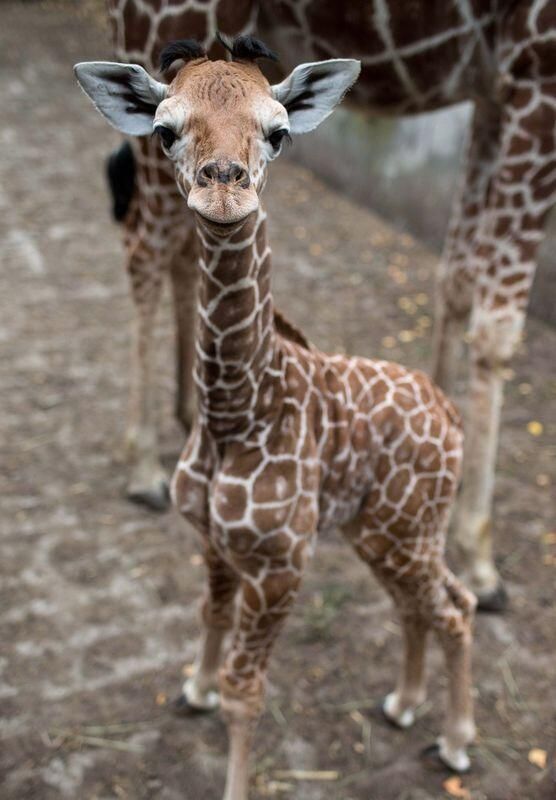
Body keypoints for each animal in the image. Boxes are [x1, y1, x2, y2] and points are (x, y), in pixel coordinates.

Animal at [75, 36, 477, 798]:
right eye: (165, 130)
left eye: (279, 131)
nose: (223, 188)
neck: (236, 412)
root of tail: (448, 409)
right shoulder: (213, 541)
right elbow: (209, 615)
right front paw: (194, 689)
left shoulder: (283, 562)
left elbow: (247, 691)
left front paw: (226, 748)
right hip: (383, 533)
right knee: (424, 603)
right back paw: (403, 706)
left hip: (406, 532)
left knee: (454, 606)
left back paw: (456, 744)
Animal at [102, 0, 556, 612]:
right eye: (166, 128)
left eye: (278, 133)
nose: (226, 184)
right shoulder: (535, 66)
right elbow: (497, 327)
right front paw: (479, 558)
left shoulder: (492, 86)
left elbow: (457, 276)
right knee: (144, 243)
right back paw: (144, 466)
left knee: (173, 244)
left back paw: (185, 413)